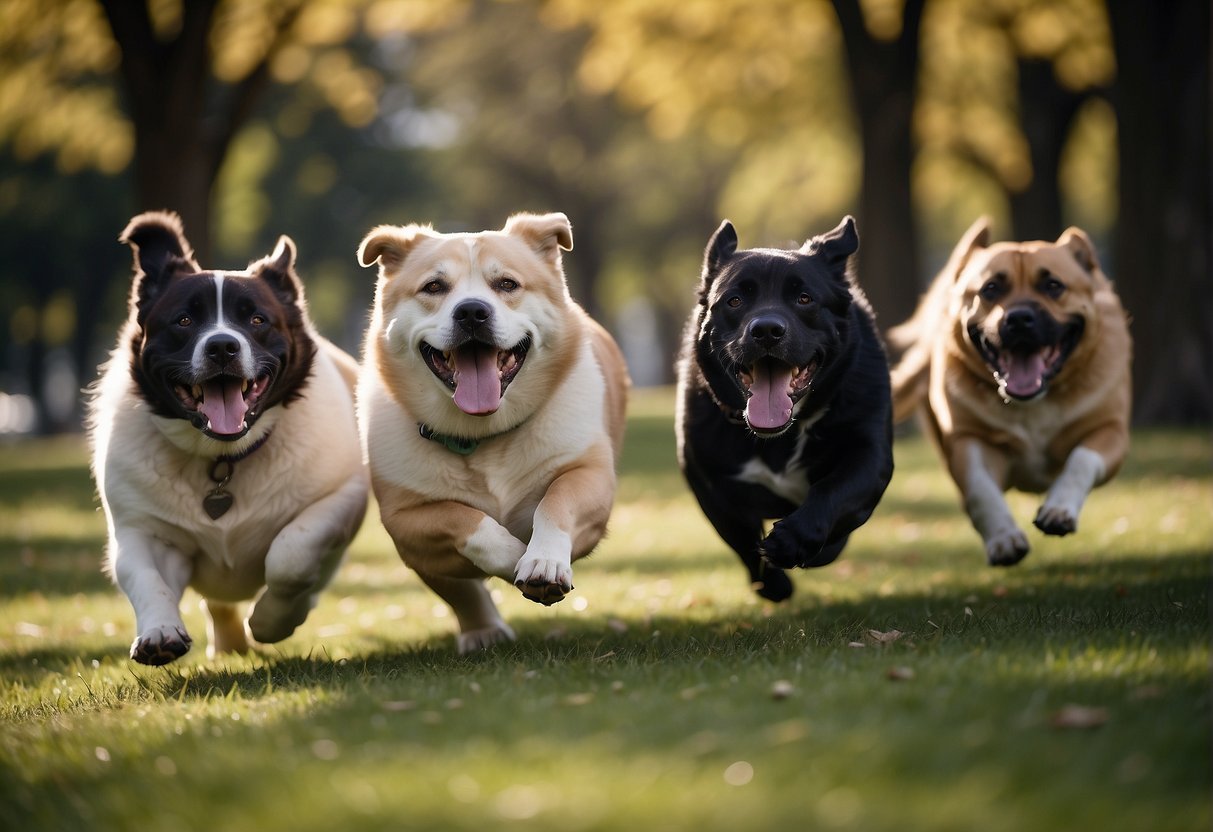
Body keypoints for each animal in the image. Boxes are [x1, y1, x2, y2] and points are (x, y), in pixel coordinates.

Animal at [89, 212, 366, 669]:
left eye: (257, 320)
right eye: (184, 321)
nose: (222, 345)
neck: (223, 456)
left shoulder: (341, 497)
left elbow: (291, 554)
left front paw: (271, 621)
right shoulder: (143, 530)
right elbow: (144, 576)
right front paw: (159, 632)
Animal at [354, 209, 630, 650]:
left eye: (507, 284)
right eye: (434, 286)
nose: (471, 312)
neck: (482, 436)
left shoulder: (589, 475)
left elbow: (556, 501)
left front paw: (543, 560)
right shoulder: (405, 521)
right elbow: (467, 523)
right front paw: (516, 555)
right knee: (461, 590)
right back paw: (483, 629)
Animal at [674, 218, 892, 603]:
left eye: (804, 298)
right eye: (734, 300)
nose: (766, 330)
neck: (780, 435)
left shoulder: (870, 454)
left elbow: (834, 492)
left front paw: (795, 542)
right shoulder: (707, 481)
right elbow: (741, 537)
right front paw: (773, 584)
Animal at [887, 218, 1130, 567]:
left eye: (1053, 285)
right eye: (990, 288)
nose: (1018, 319)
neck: (1034, 403)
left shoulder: (1110, 431)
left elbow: (1081, 460)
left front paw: (1059, 510)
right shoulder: (969, 440)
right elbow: (979, 489)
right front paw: (1003, 539)